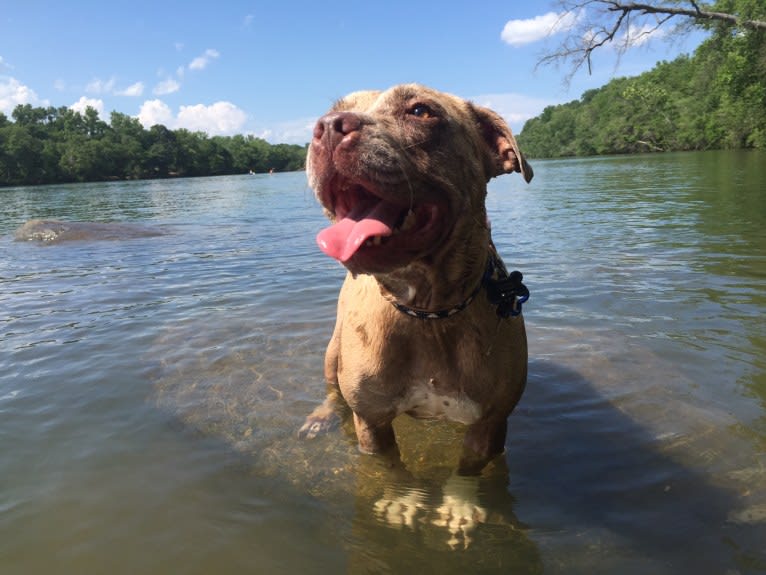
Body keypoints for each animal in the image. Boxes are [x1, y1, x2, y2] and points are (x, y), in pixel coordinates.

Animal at [302, 83, 536, 474]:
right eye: (334, 110)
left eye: (420, 111)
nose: (330, 126)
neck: (428, 312)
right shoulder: (372, 425)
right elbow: (389, 475)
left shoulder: (488, 427)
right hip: (332, 354)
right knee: (332, 388)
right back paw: (321, 416)